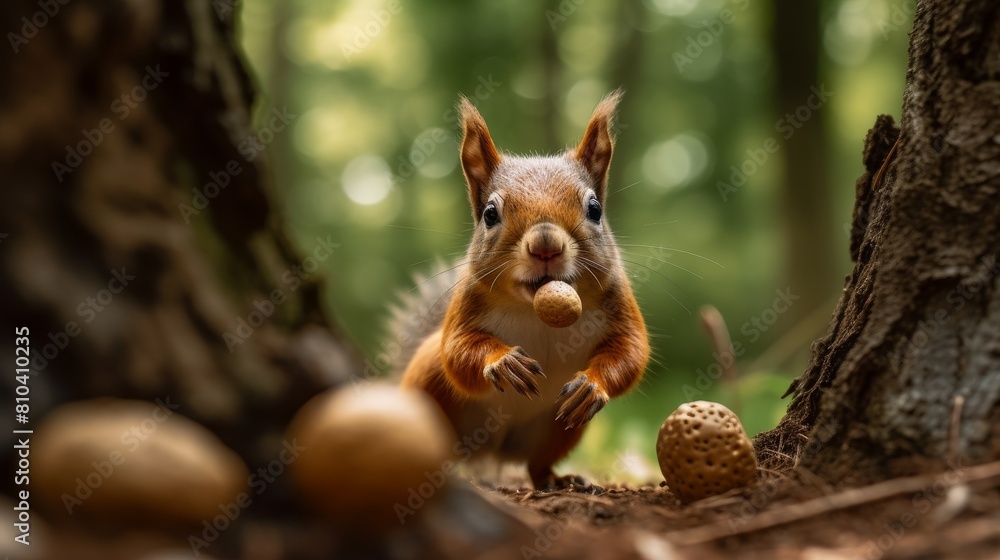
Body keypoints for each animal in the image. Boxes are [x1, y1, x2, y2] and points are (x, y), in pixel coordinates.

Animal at [398, 91, 650, 490]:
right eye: (489, 214)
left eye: (594, 209)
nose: (545, 245)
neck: (533, 309)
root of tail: (492, 451)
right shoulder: (466, 305)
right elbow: (457, 350)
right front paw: (503, 361)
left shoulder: (618, 303)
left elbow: (631, 350)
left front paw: (592, 386)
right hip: (426, 380)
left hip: (558, 429)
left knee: (538, 462)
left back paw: (558, 479)